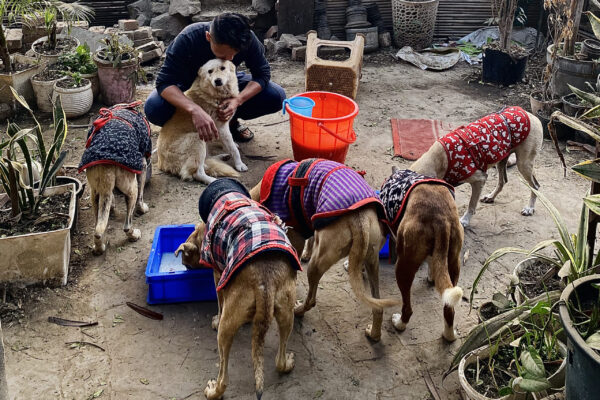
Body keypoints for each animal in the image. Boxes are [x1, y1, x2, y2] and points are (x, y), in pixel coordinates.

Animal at [176, 180, 302, 400]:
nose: (185, 266)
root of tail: (265, 281)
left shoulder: (218, 275)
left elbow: (219, 302)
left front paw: (215, 319)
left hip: (227, 328)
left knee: (224, 376)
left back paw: (213, 391)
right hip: (287, 313)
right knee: (279, 359)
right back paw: (287, 363)